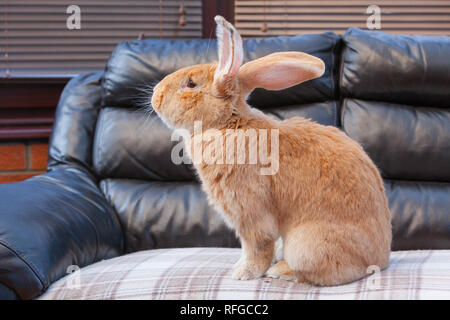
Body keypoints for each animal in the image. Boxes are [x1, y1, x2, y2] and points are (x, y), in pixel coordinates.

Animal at [151, 15, 390, 286]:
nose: (155, 95)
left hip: (306, 245)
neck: (229, 123)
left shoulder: (250, 212)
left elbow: (257, 246)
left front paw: (242, 273)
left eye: (190, 84)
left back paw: (281, 270)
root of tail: (380, 260)